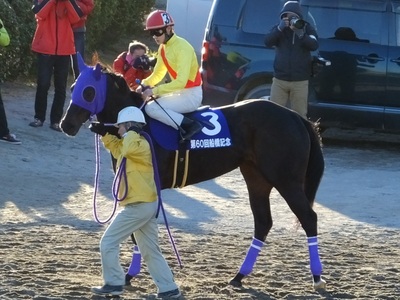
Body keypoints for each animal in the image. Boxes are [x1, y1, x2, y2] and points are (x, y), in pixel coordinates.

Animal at [61, 55, 326, 290]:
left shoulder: (148, 188)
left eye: (88, 91)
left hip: (287, 180)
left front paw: (129, 275)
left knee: (308, 218)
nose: (66, 124)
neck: (140, 124)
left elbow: (139, 234)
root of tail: (295, 116)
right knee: (263, 222)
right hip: (257, 179)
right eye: (73, 87)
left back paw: (317, 277)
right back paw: (239, 276)